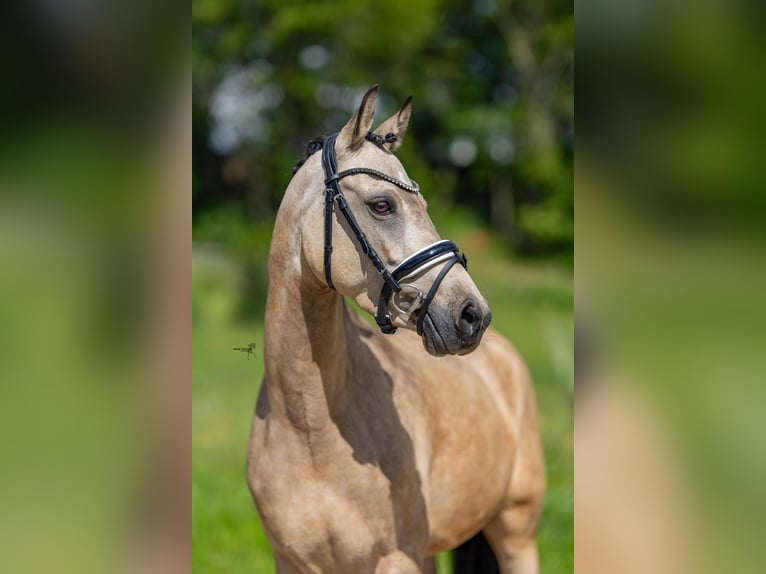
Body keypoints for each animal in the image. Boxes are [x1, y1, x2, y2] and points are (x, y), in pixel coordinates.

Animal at [248, 85, 544, 574]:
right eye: (382, 205)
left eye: (425, 206)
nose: (472, 315)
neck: (308, 428)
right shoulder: (290, 562)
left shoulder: (395, 559)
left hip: (515, 531)